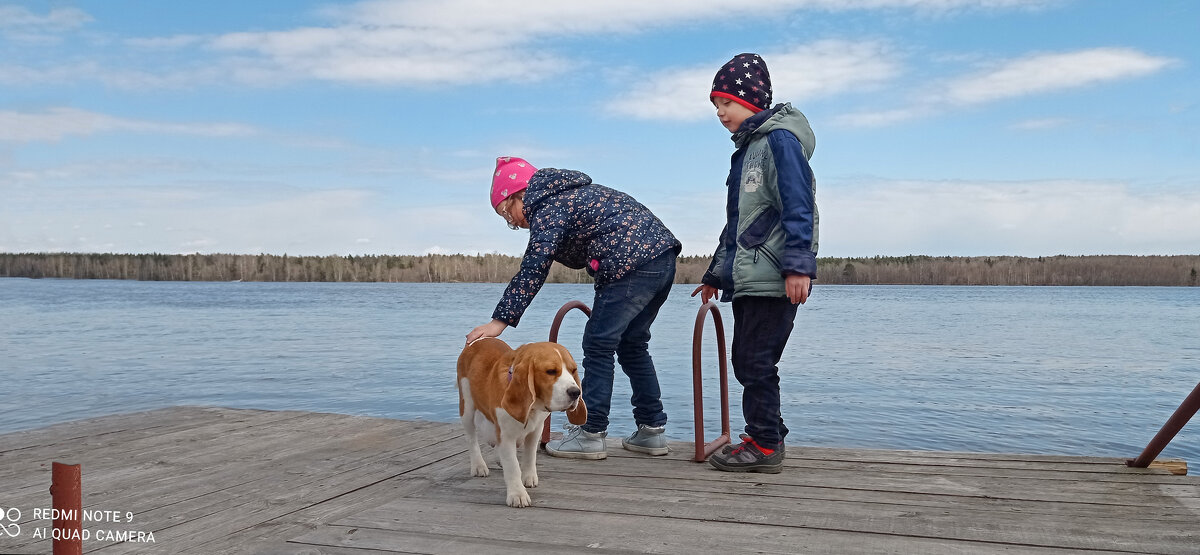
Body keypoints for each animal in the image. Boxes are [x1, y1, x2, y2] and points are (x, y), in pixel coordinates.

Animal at [453, 338, 585, 506]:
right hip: (467, 408)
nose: (576, 392)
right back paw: (478, 465)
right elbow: (512, 465)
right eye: (551, 371)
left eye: (573, 370)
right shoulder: (506, 435)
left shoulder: (536, 430)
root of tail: (478, 340)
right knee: (471, 439)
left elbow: (530, 455)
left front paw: (528, 477)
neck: (532, 408)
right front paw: (517, 494)